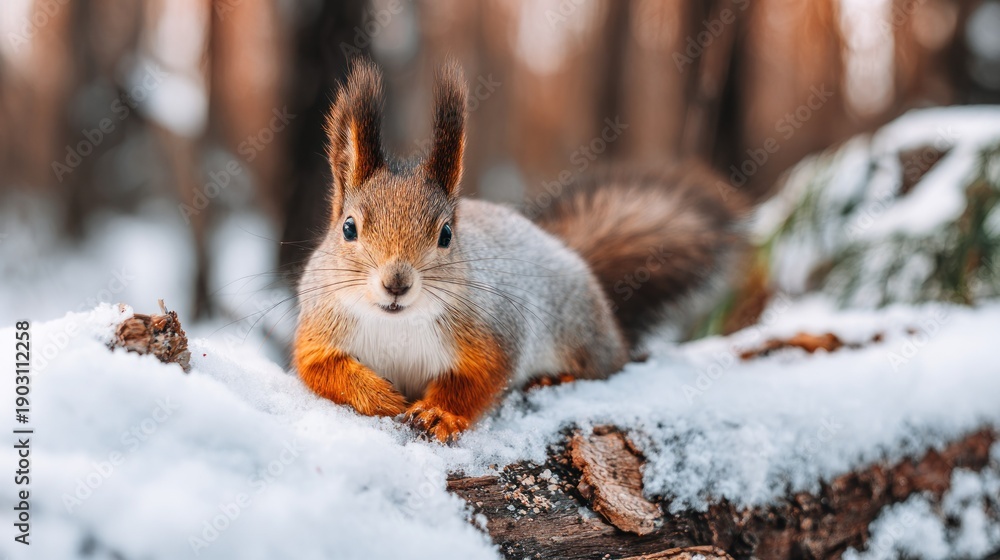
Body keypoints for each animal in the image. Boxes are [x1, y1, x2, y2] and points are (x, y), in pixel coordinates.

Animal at [294, 60, 745, 442]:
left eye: (446, 234)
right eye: (348, 228)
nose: (396, 284)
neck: (398, 323)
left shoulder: (491, 330)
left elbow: (479, 379)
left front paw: (440, 413)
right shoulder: (319, 328)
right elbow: (320, 370)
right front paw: (379, 396)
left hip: (580, 330)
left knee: (604, 366)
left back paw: (556, 378)